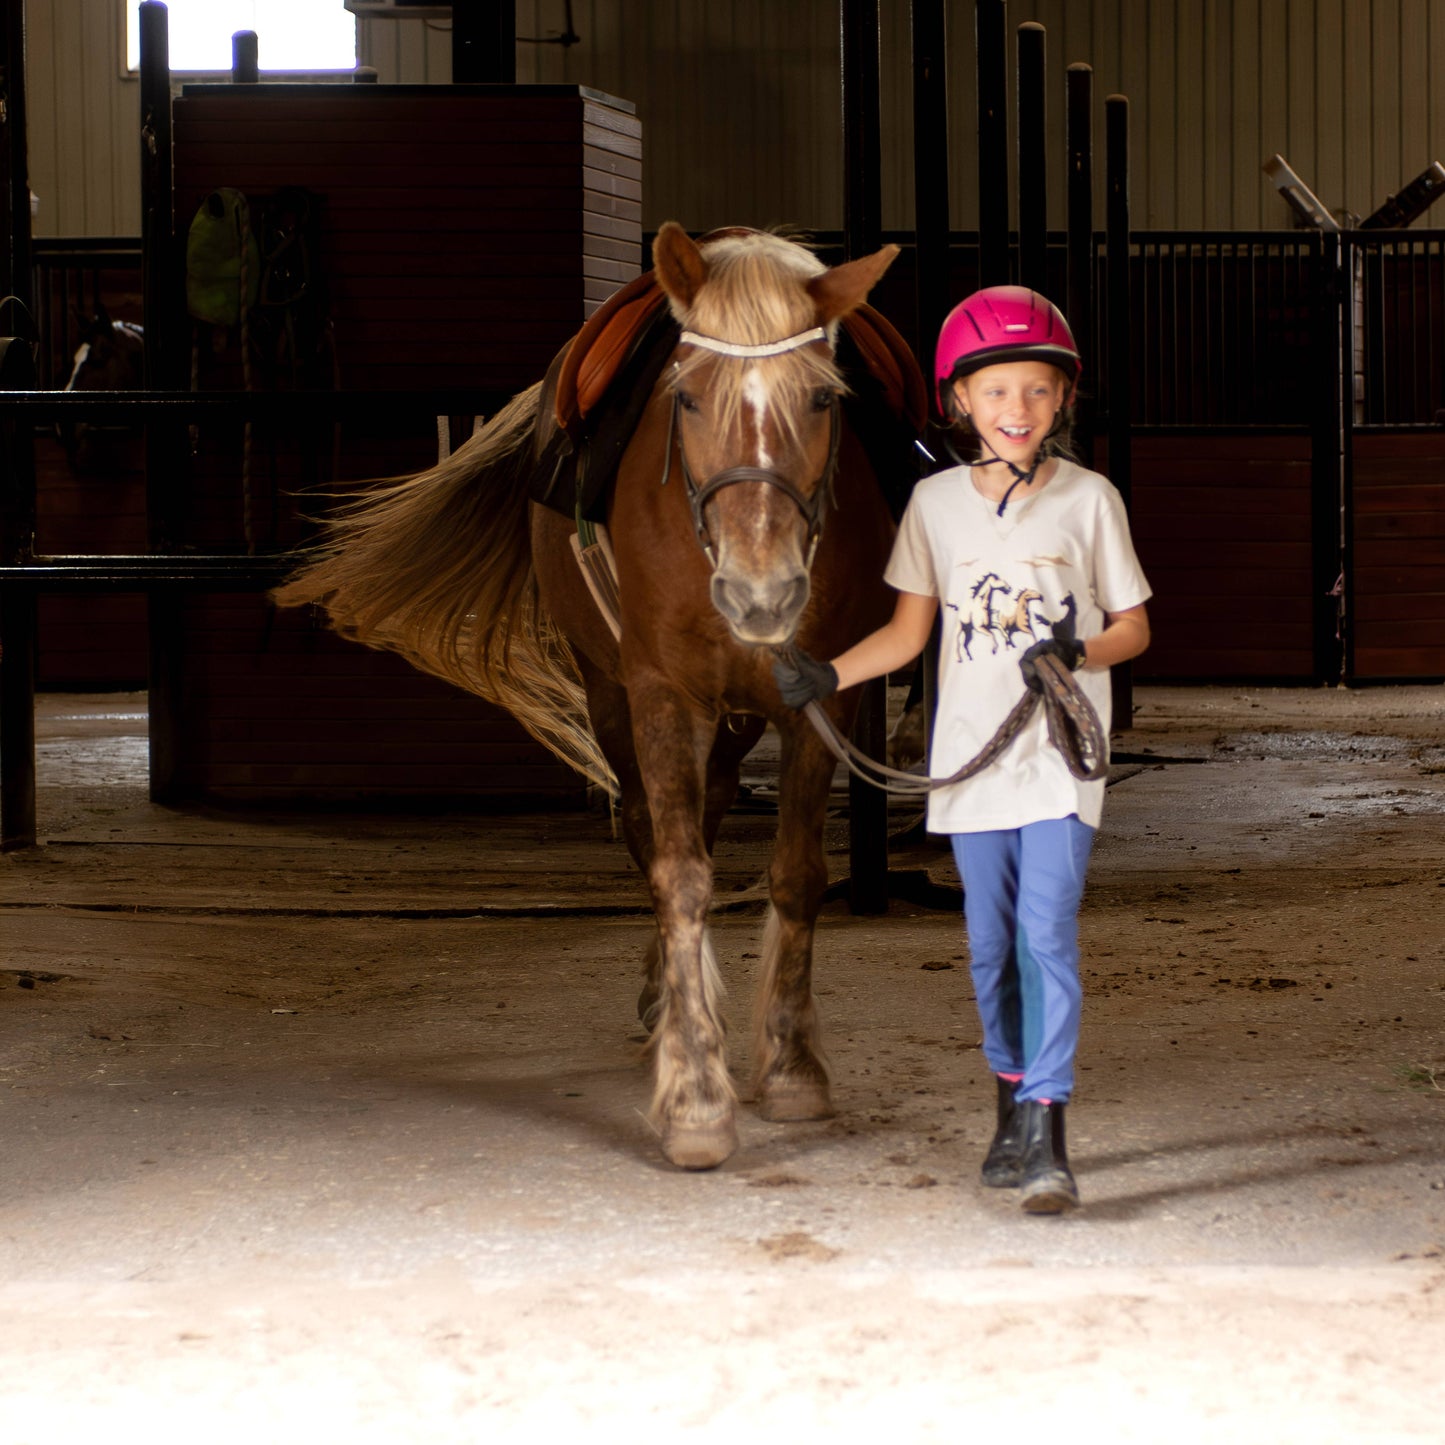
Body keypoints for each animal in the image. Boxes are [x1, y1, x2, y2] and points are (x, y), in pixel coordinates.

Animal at [275, 224, 912, 1169]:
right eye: (686, 398)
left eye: (823, 399)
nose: (759, 593)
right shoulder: (658, 691)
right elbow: (678, 874)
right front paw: (694, 1094)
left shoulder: (819, 700)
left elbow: (796, 873)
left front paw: (792, 1066)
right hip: (613, 692)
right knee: (652, 832)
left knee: (712, 803)